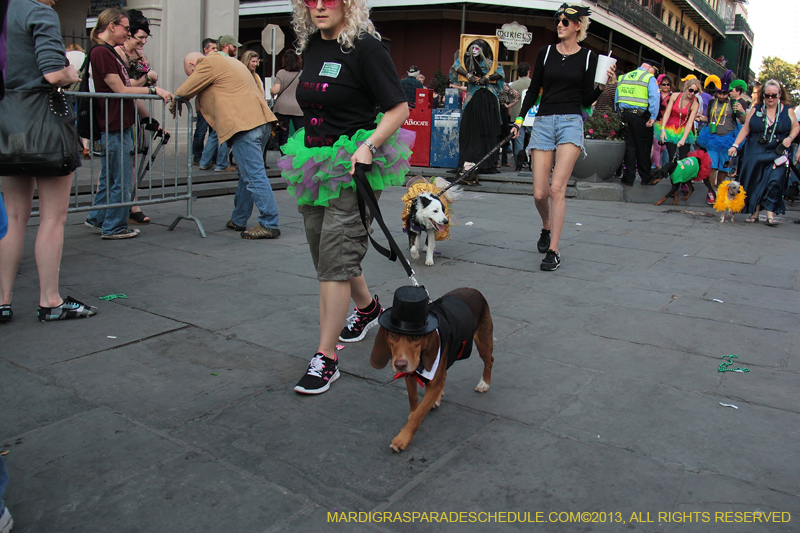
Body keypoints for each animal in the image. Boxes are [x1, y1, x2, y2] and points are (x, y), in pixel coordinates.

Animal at [370, 288, 494, 450]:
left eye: (416, 337)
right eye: (392, 335)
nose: (400, 365)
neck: (421, 360)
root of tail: (472, 289)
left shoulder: (434, 382)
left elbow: (418, 414)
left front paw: (402, 438)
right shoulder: (410, 376)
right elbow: (413, 401)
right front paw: (412, 416)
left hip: (483, 342)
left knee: (489, 361)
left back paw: (484, 383)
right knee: (445, 375)